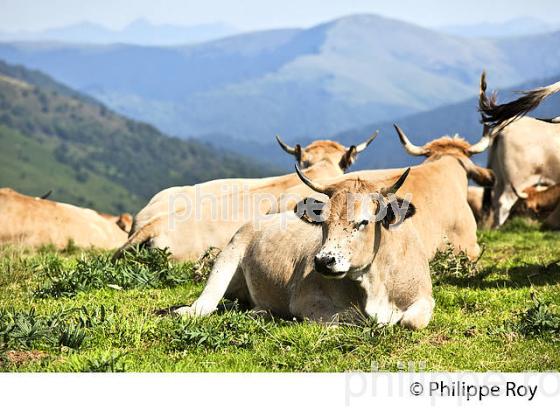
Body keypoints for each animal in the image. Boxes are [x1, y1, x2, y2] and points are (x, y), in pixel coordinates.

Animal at [174, 167, 434, 330]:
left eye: (363, 222)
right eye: (323, 221)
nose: (324, 261)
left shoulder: (425, 298)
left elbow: (411, 321)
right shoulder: (304, 300)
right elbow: (344, 318)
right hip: (226, 258)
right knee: (204, 305)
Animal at [476, 73, 560, 227]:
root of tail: (503, 129)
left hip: (499, 177)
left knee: (496, 201)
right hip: (516, 178)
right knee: (504, 202)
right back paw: (499, 228)